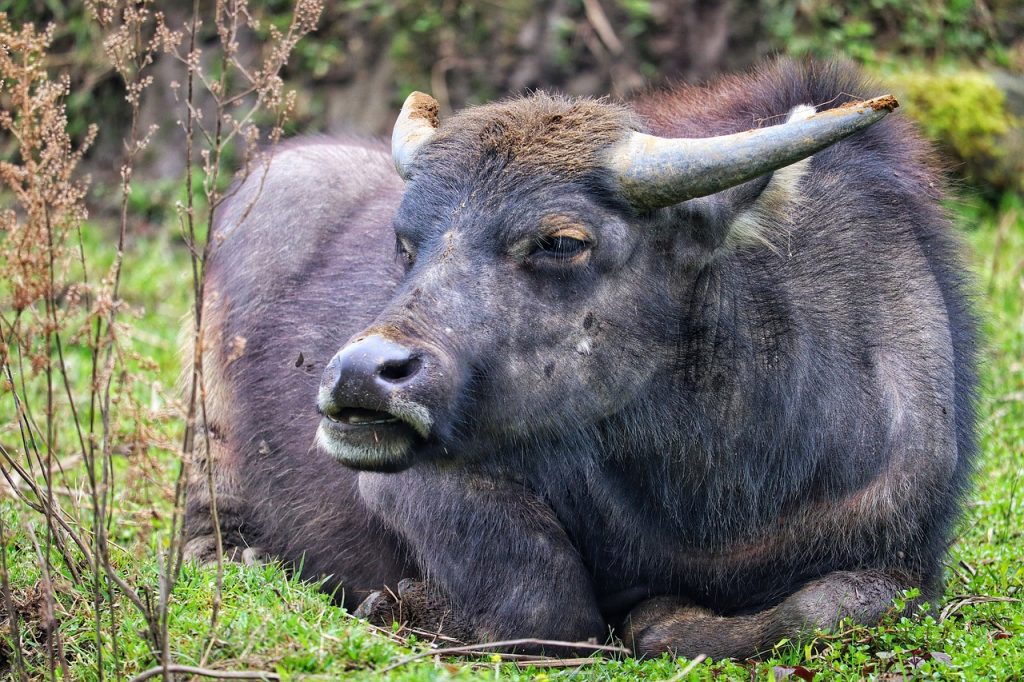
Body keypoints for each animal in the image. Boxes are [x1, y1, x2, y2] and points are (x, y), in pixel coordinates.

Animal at [183, 59, 978, 659]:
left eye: (562, 241)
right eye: (405, 242)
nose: (360, 375)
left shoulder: (907, 547)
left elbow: (842, 605)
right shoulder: (407, 479)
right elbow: (548, 609)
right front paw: (407, 606)